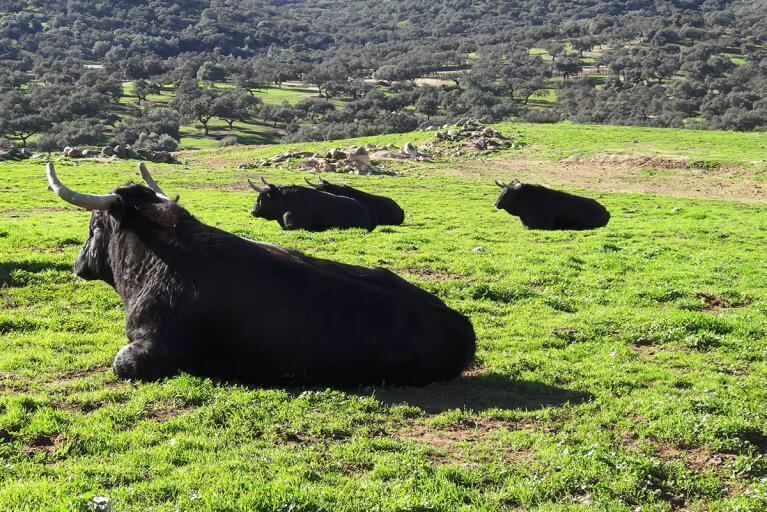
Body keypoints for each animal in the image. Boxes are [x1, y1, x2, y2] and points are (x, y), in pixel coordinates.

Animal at [45, 162, 476, 386]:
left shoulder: (154, 349)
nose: (77, 262)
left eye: (94, 225)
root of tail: (460, 323)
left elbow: (122, 364)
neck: (158, 258)